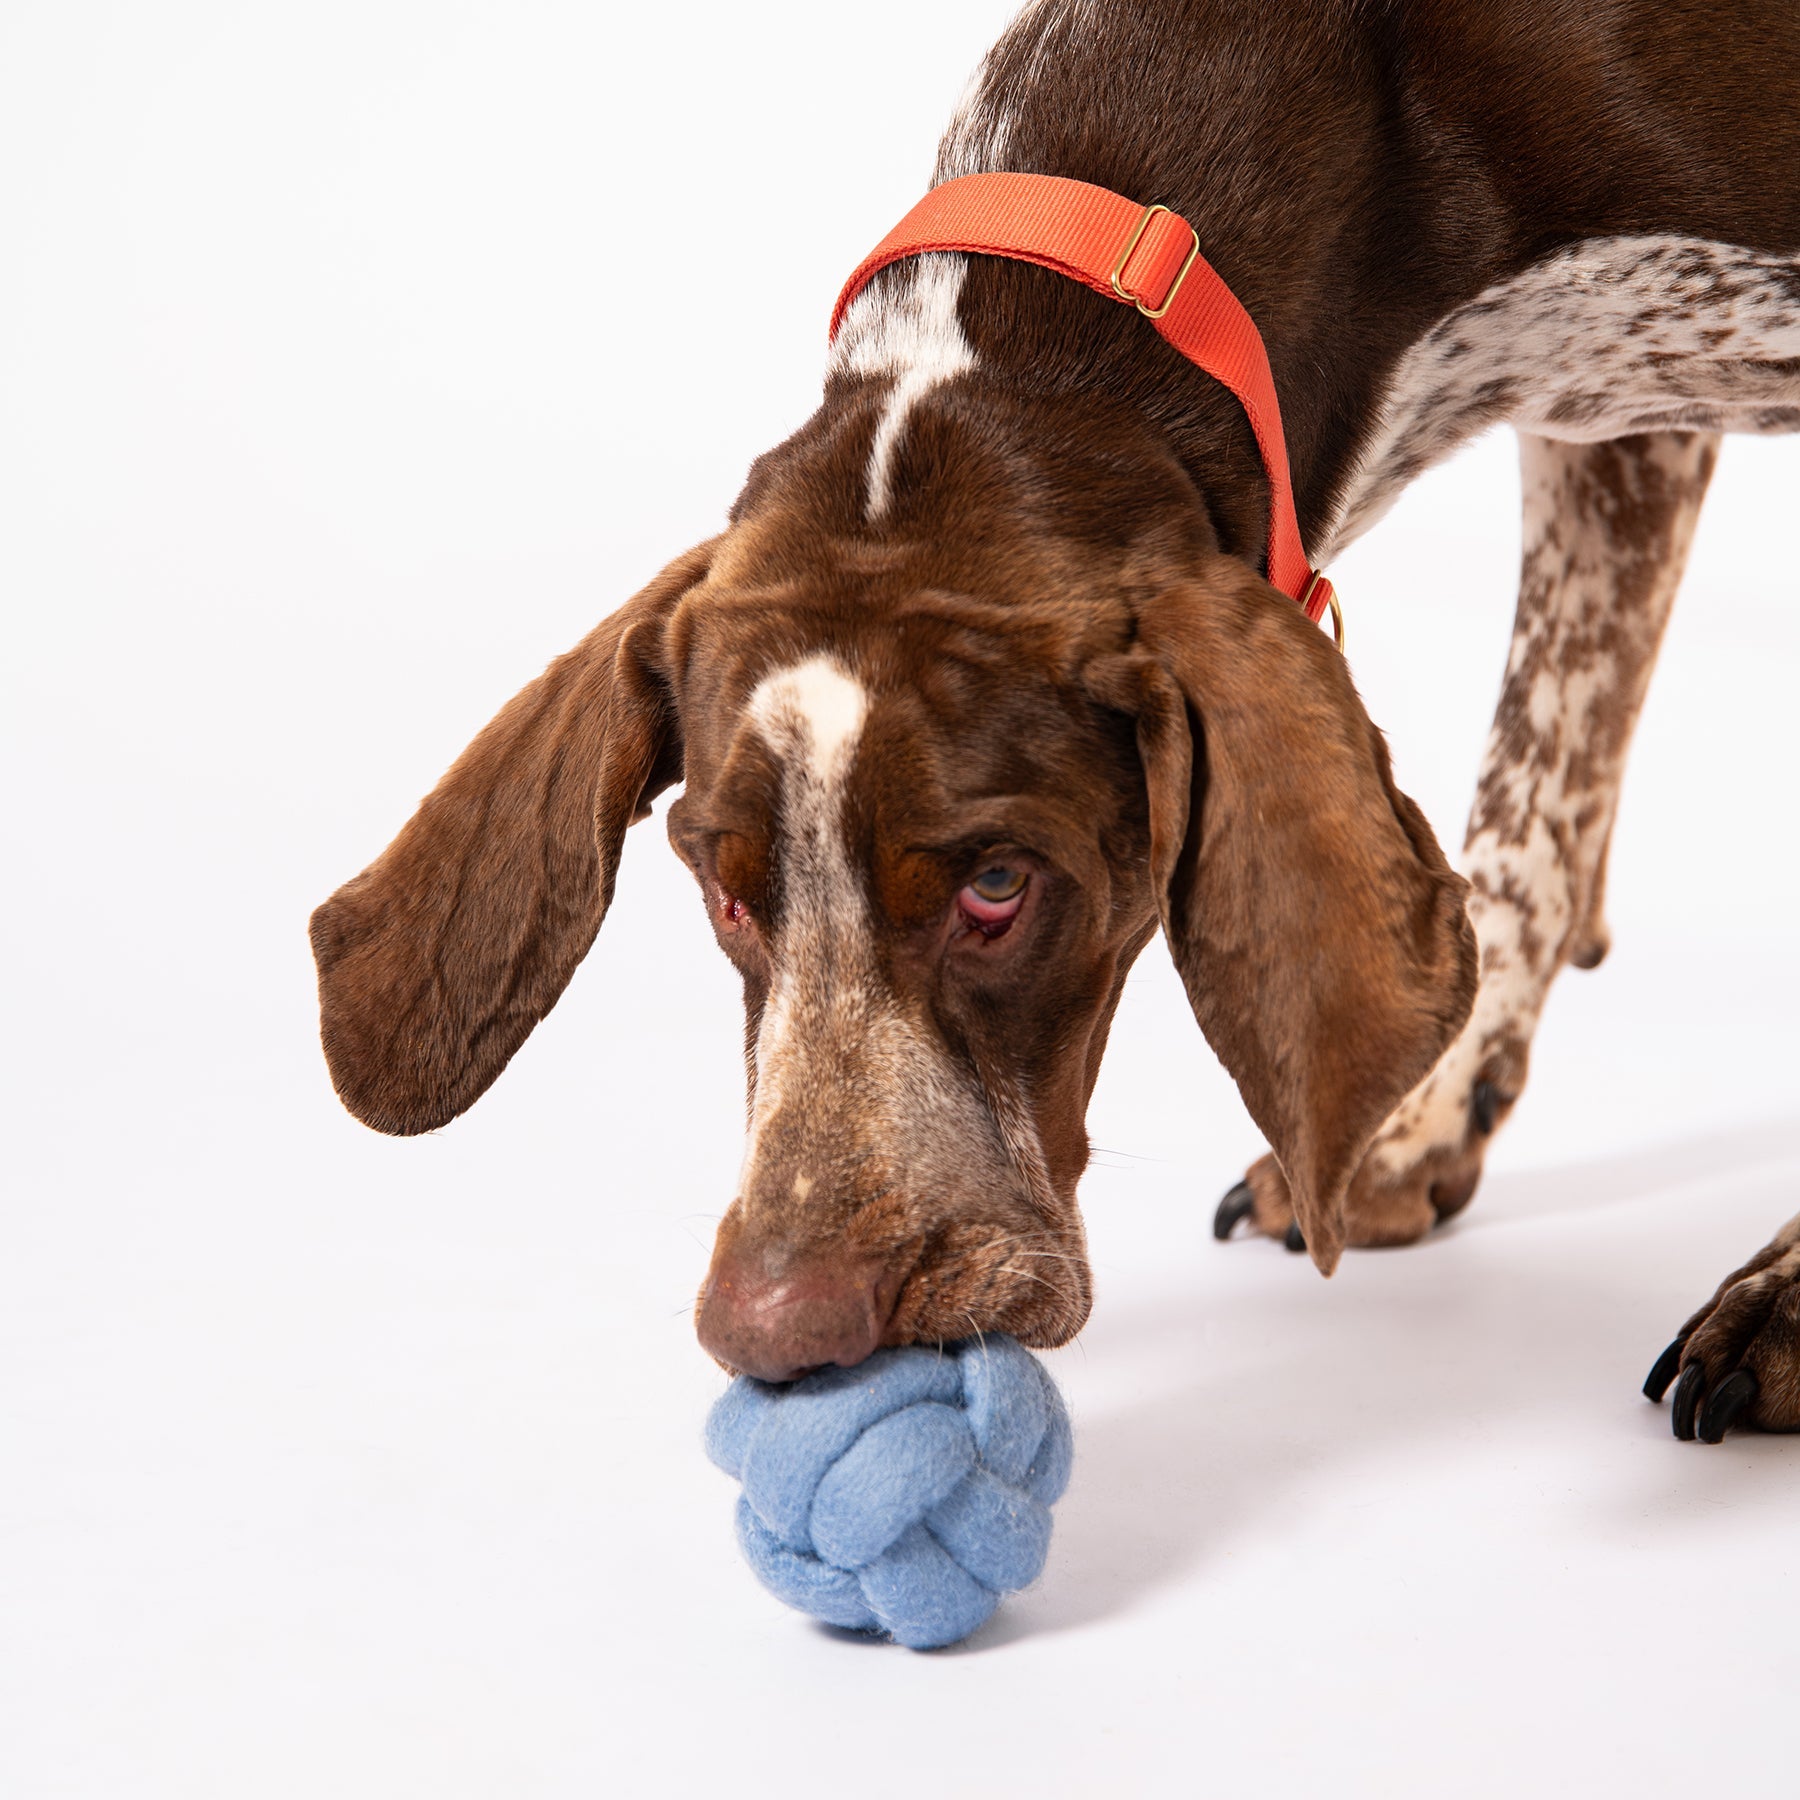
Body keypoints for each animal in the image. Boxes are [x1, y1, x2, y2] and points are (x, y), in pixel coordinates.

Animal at [309, 0, 1800, 1440]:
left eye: (998, 886)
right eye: (725, 891)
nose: (775, 1335)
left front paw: (1786, 1297)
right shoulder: (1617, 434)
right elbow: (1540, 782)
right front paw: (1416, 1122)